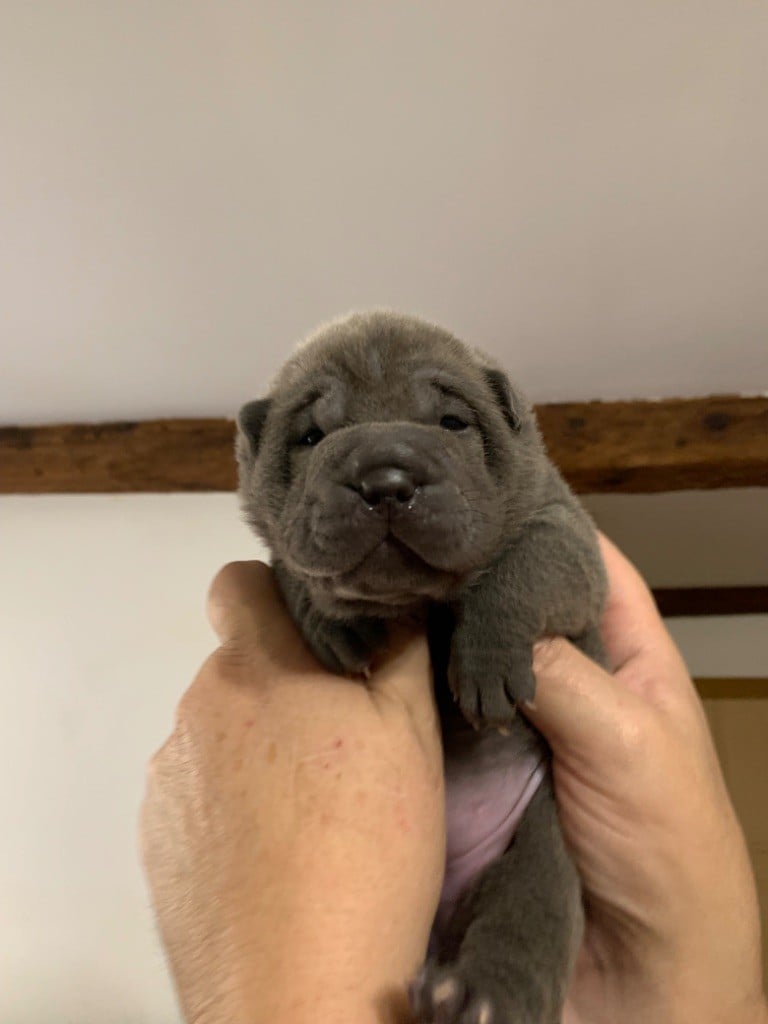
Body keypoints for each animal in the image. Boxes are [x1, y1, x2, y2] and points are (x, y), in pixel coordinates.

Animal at [236, 310, 607, 1023]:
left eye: (453, 423)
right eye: (311, 436)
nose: (386, 482)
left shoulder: (568, 534)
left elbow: (522, 570)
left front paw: (486, 665)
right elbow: (288, 567)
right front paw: (333, 622)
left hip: (542, 842)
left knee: (528, 915)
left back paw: (475, 1000)